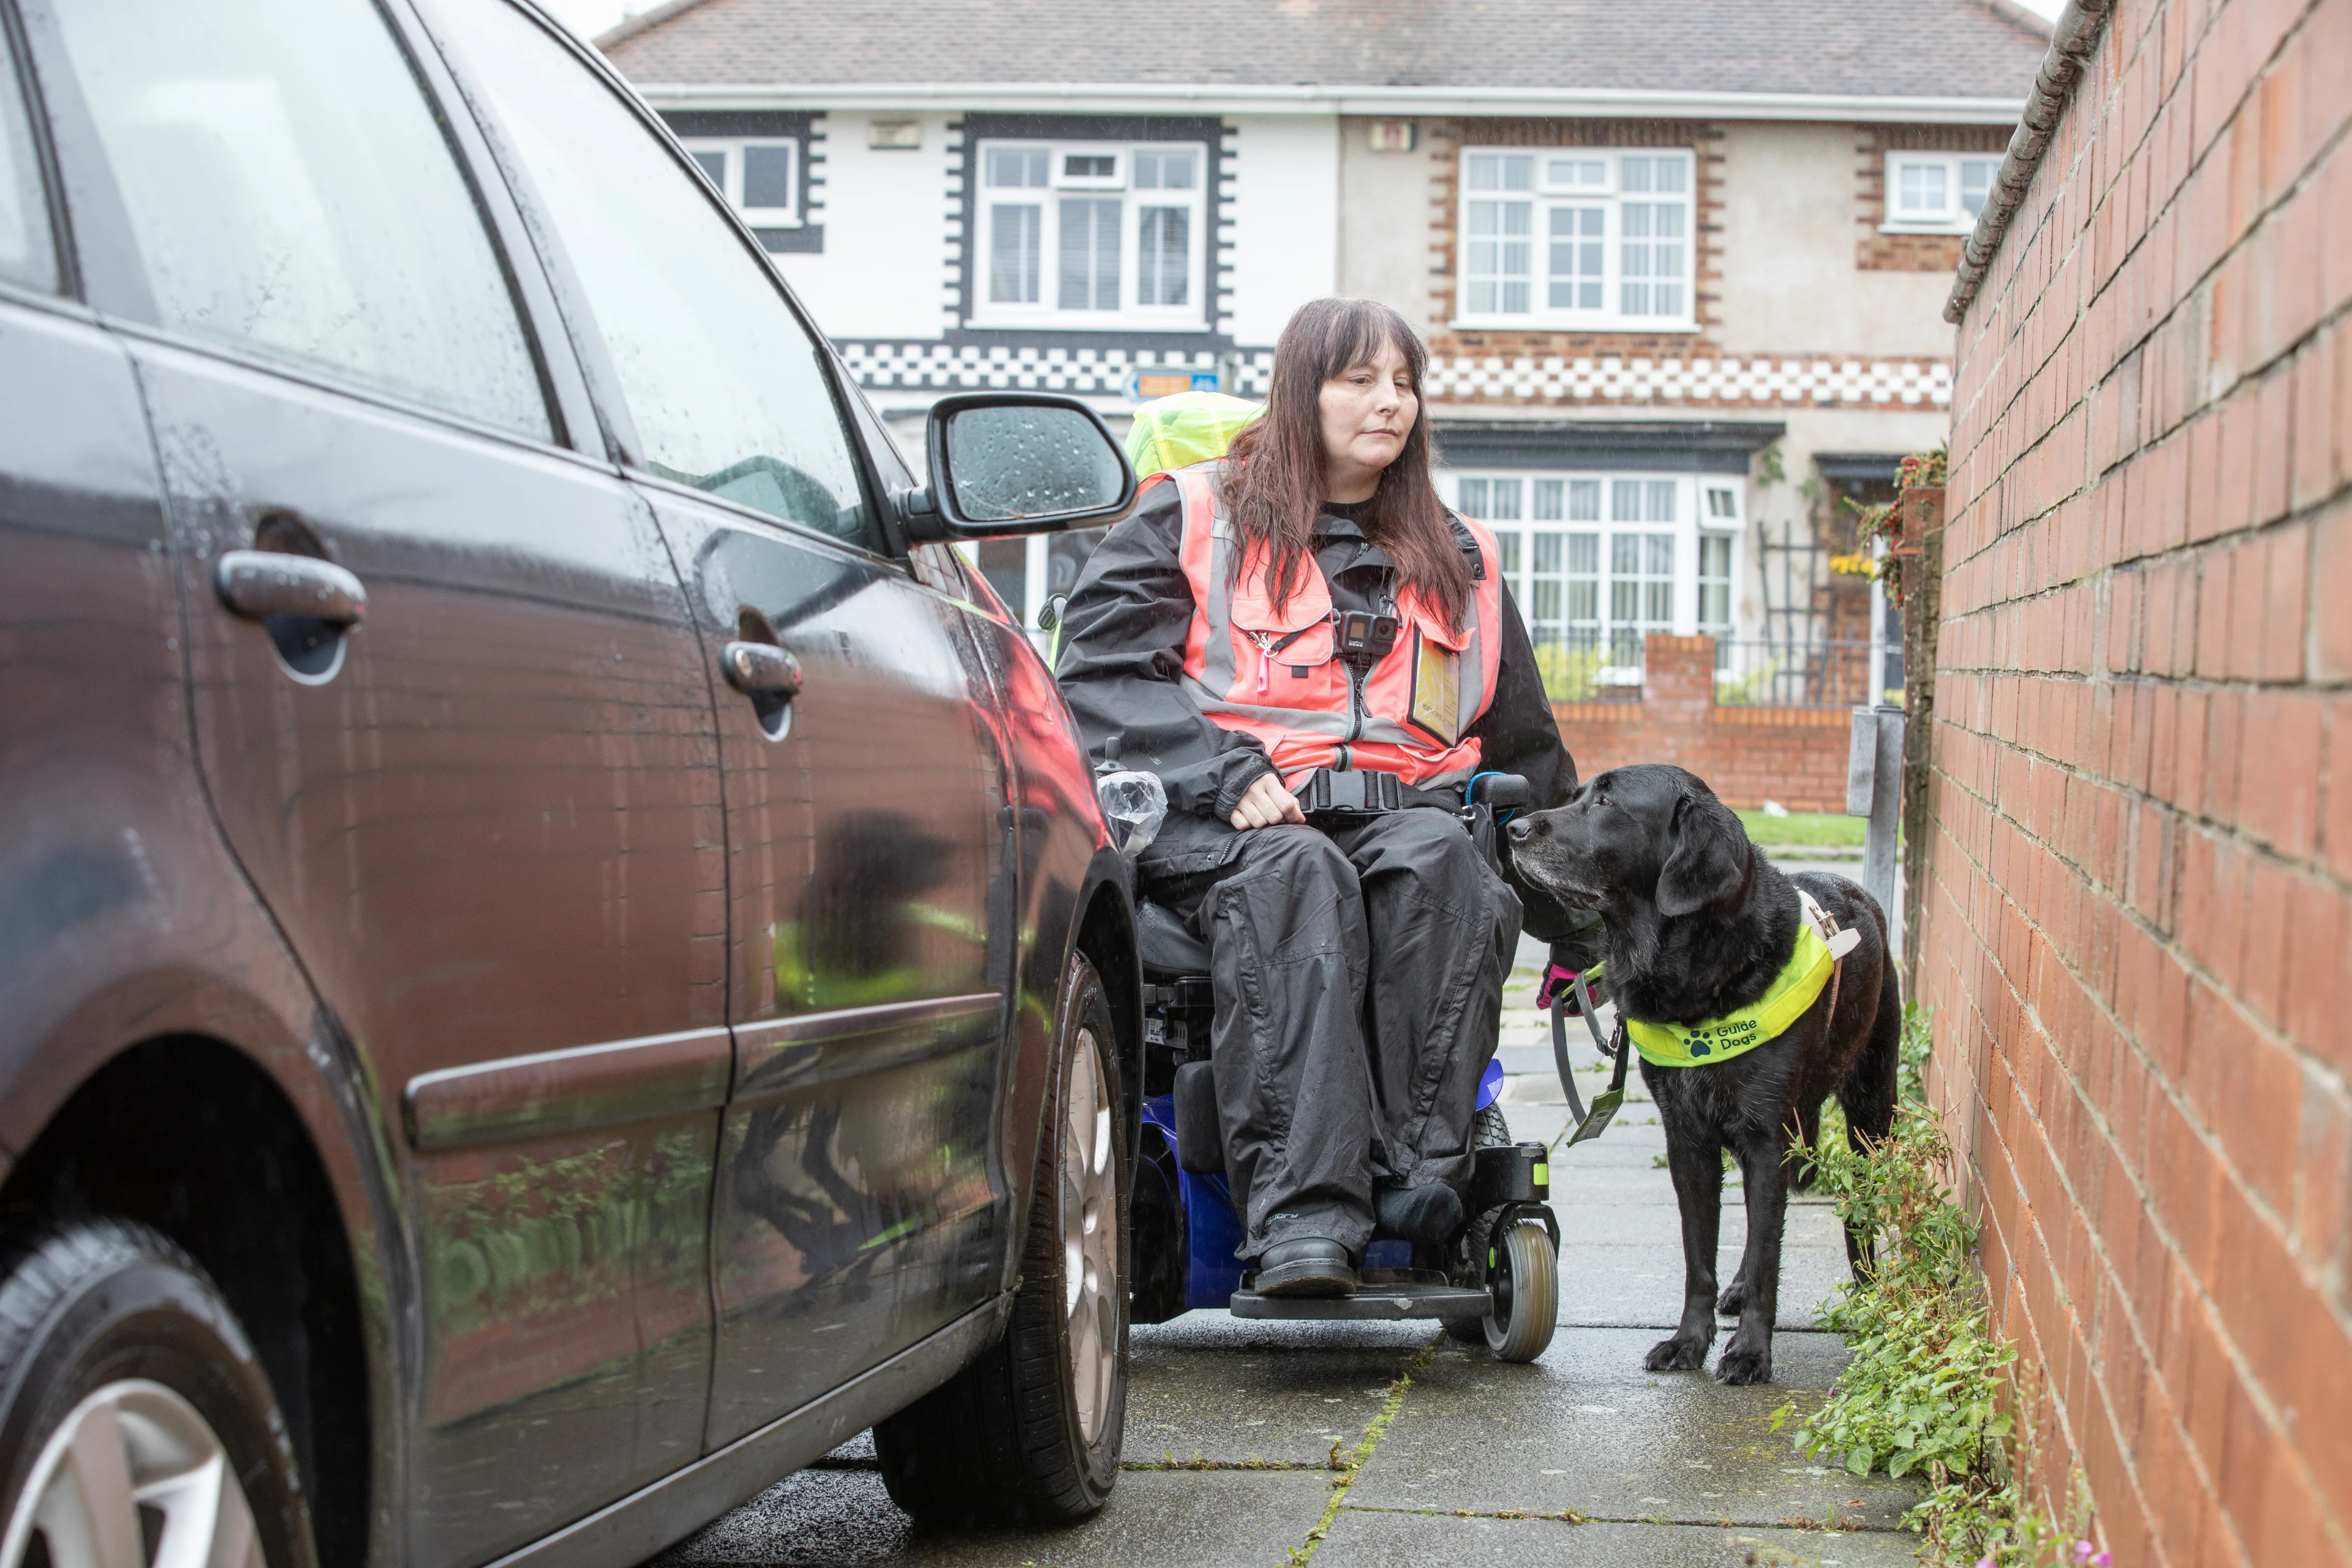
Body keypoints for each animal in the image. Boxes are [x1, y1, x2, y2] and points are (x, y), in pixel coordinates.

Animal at [1514, 761, 1900, 1382]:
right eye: (1577, 794)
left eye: (1606, 802)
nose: (1515, 829)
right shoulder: (1688, 1141)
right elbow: (1701, 1255)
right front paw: (1689, 1342)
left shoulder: (1767, 1139)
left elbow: (1768, 1252)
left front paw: (1750, 1353)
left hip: (1870, 1106)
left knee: (1854, 1208)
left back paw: (1869, 1291)